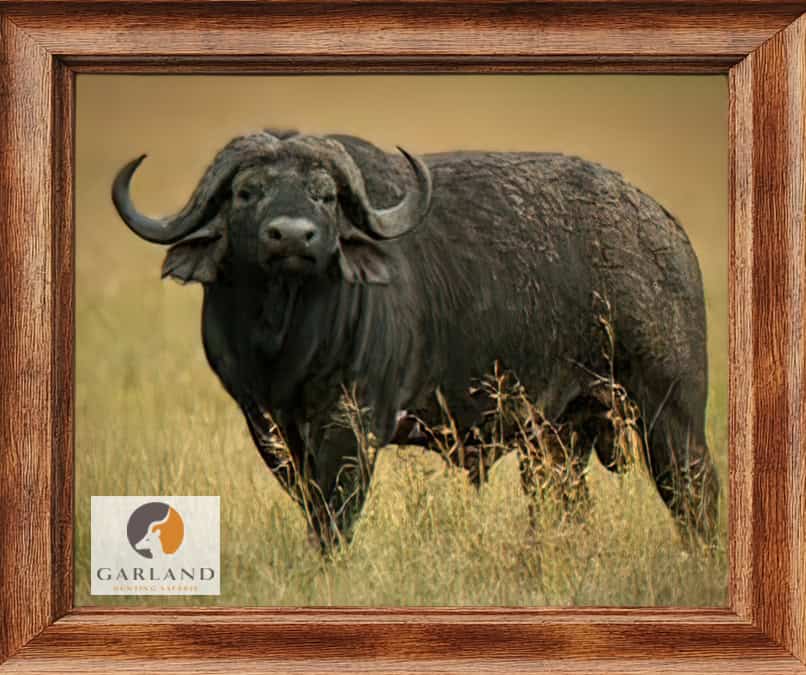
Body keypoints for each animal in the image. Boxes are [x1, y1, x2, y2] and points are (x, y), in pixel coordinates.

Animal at [112, 130, 719, 552]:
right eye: (246, 192)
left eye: (325, 196)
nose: (292, 237)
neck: (286, 342)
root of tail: (665, 229)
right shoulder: (266, 426)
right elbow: (312, 507)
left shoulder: (354, 423)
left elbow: (336, 515)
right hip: (554, 440)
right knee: (563, 506)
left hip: (670, 414)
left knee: (696, 496)